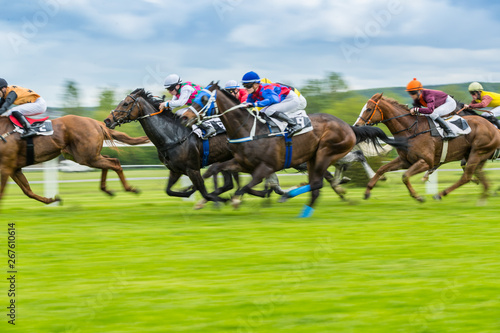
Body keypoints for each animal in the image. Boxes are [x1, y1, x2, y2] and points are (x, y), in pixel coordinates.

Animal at [0, 115, 149, 205]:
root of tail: (96, 123)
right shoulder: (13, 168)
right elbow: (27, 190)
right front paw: (51, 199)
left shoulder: (6, 167)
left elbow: (3, 193)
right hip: (85, 156)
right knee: (109, 161)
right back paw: (106, 189)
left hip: (86, 157)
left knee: (114, 163)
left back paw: (130, 189)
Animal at [182, 84, 408, 217]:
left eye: (203, 99)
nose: (184, 117)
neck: (249, 129)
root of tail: (347, 126)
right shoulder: (242, 163)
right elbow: (217, 170)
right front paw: (202, 198)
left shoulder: (266, 166)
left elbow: (247, 186)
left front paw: (235, 200)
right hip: (314, 157)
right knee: (323, 178)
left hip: (324, 153)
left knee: (327, 176)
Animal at [354, 93, 500, 201]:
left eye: (368, 109)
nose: (357, 126)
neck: (412, 130)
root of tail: (492, 127)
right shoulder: (405, 161)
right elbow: (382, 169)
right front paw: (367, 191)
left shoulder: (426, 162)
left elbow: (405, 176)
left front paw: (418, 197)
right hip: (476, 155)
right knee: (478, 176)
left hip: (477, 152)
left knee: (466, 177)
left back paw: (440, 194)